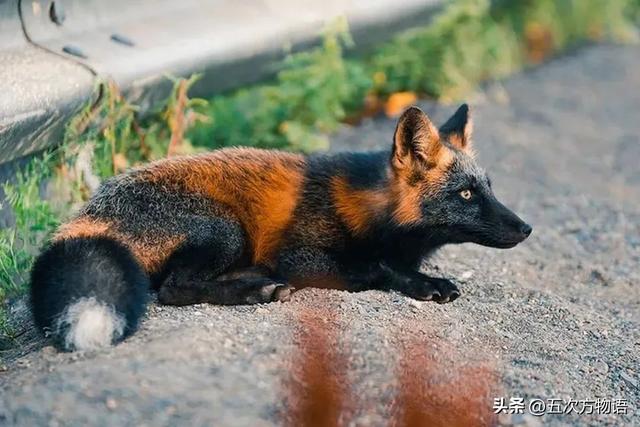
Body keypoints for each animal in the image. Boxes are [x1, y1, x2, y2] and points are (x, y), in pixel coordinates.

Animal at [28, 104, 528, 352]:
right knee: (172, 289)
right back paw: (256, 289)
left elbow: (382, 264)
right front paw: (424, 284)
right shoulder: (300, 255)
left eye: (488, 187)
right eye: (466, 195)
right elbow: (373, 270)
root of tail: (87, 214)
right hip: (226, 230)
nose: (526, 229)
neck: (368, 210)